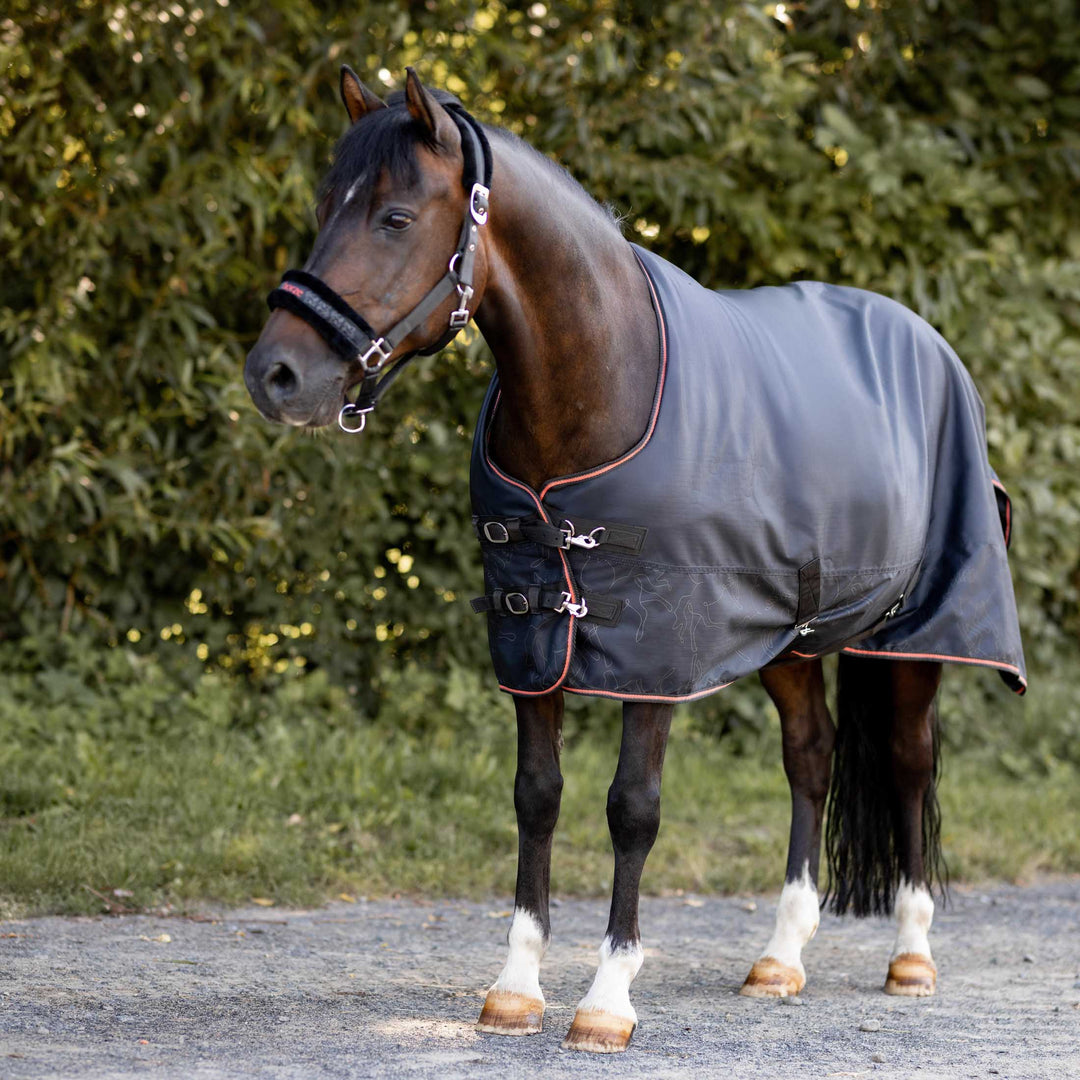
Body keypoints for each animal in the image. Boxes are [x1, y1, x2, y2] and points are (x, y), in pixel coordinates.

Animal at [244, 67, 1026, 1054]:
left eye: (394, 216)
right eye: (324, 207)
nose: (276, 374)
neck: (598, 387)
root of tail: (926, 339)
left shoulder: (657, 655)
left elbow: (632, 809)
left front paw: (607, 998)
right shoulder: (533, 640)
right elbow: (537, 796)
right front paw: (515, 990)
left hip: (916, 633)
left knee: (910, 760)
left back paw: (911, 957)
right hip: (794, 639)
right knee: (811, 758)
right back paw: (780, 959)